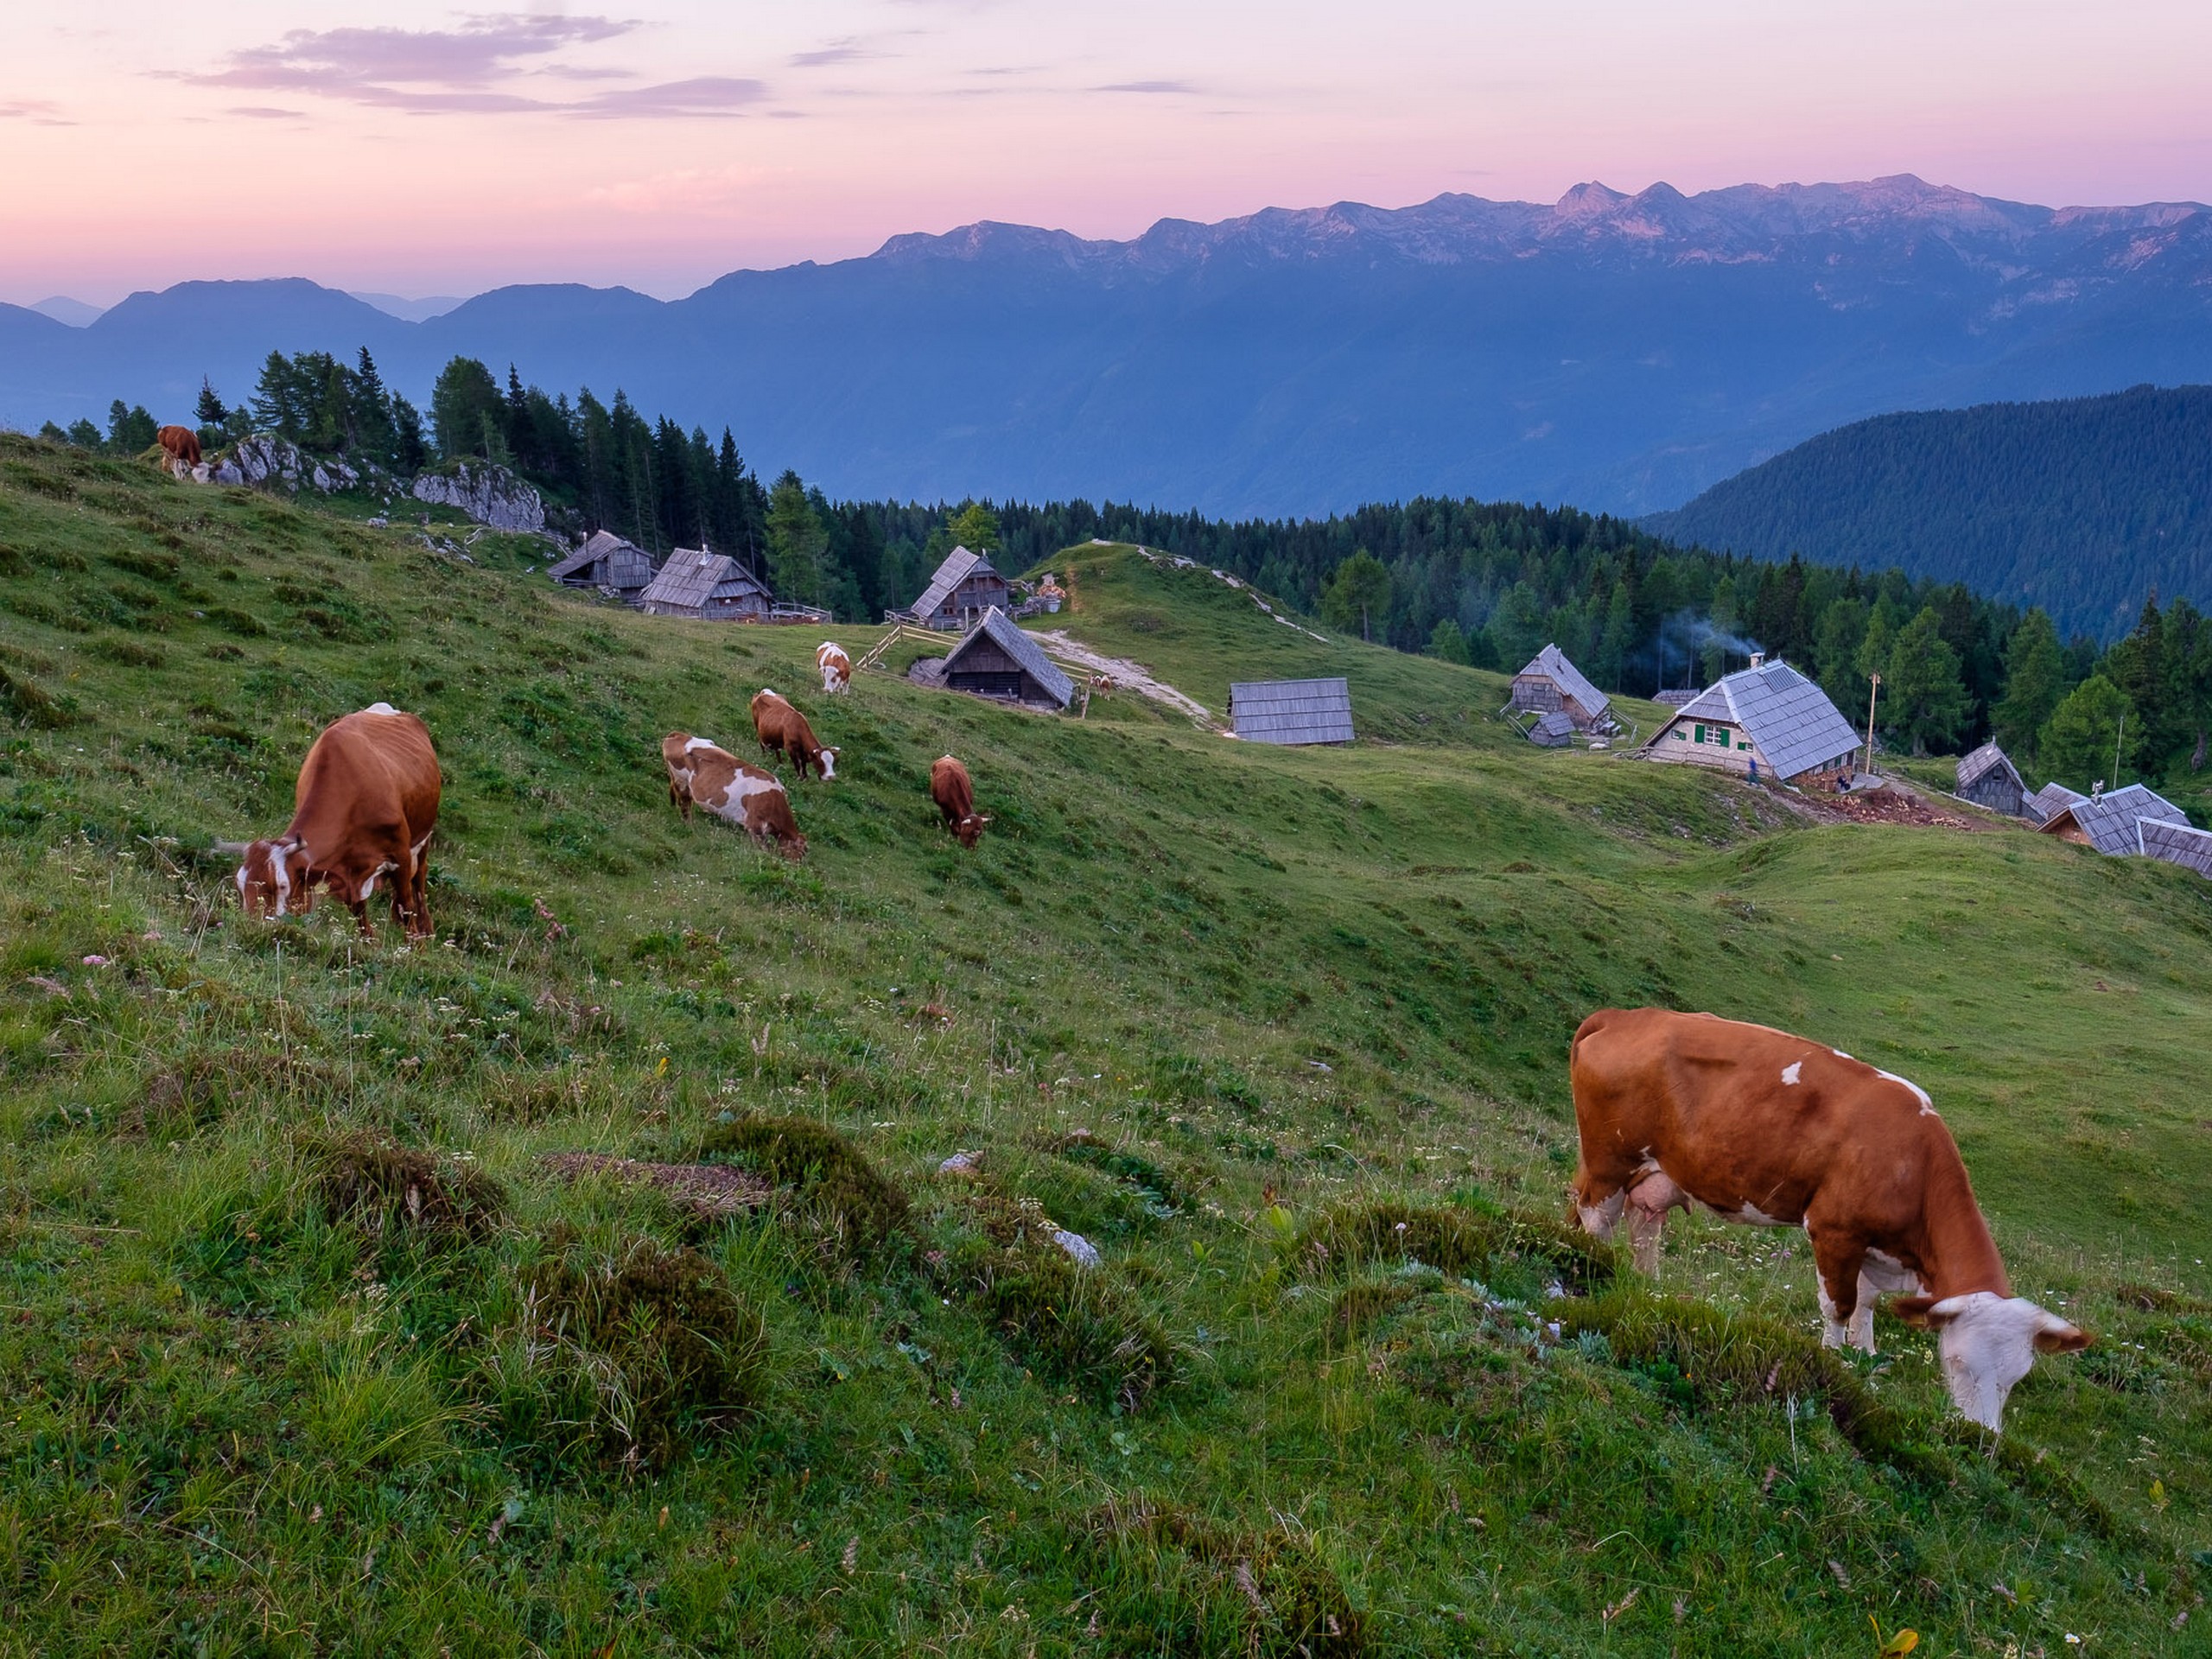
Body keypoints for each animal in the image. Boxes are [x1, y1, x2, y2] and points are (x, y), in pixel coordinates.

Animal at [231, 698, 442, 938]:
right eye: (240, 886)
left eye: (281, 886)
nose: (251, 927)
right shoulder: (348, 873)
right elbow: (359, 909)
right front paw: (369, 940)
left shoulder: (401, 855)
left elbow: (406, 906)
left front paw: (416, 943)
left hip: (423, 836)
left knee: (419, 879)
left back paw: (426, 928)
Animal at [1566, 1008, 2079, 1433]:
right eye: (1958, 1363)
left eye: (2017, 1377)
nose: (1982, 1435)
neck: (1912, 1161)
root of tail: (1625, 1015)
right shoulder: (1835, 1232)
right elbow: (1840, 1305)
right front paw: (1834, 1359)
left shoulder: (1877, 1247)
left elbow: (1868, 1302)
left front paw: (1867, 1354)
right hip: (1610, 1159)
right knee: (1597, 1218)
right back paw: (1594, 1269)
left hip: (1652, 1171)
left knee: (1640, 1223)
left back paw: (1648, 1286)